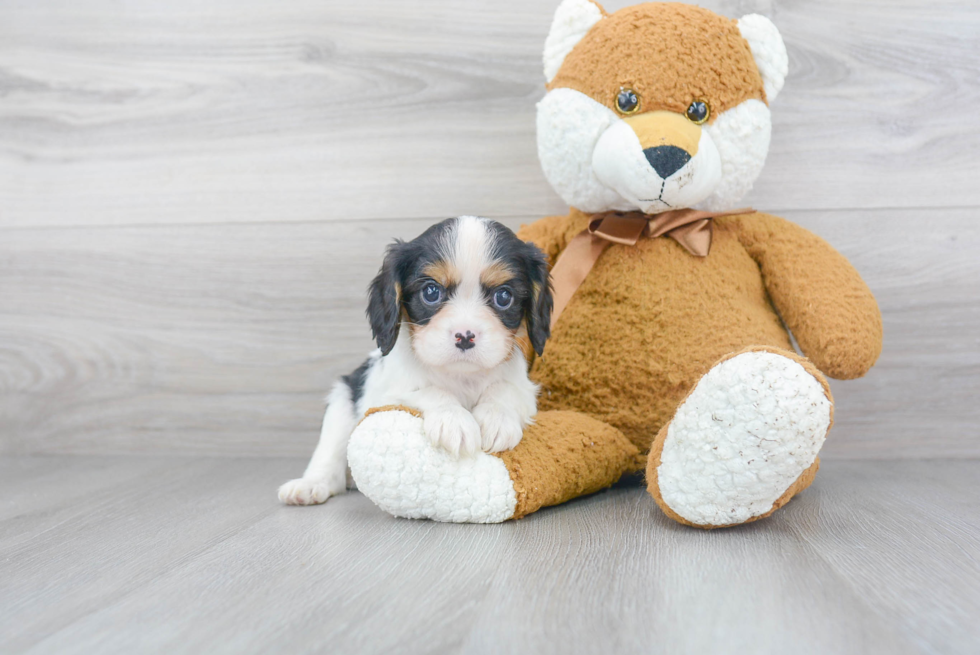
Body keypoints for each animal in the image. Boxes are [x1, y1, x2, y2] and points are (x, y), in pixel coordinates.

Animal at [278, 215, 552, 508]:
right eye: (431, 292)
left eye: (503, 297)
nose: (465, 336)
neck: (461, 376)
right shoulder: (384, 396)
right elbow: (429, 390)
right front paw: (453, 420)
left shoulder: (525, 390)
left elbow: (505, 389)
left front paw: (496, 418)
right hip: (341, 402)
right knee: (330, 459)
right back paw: (309, 485)